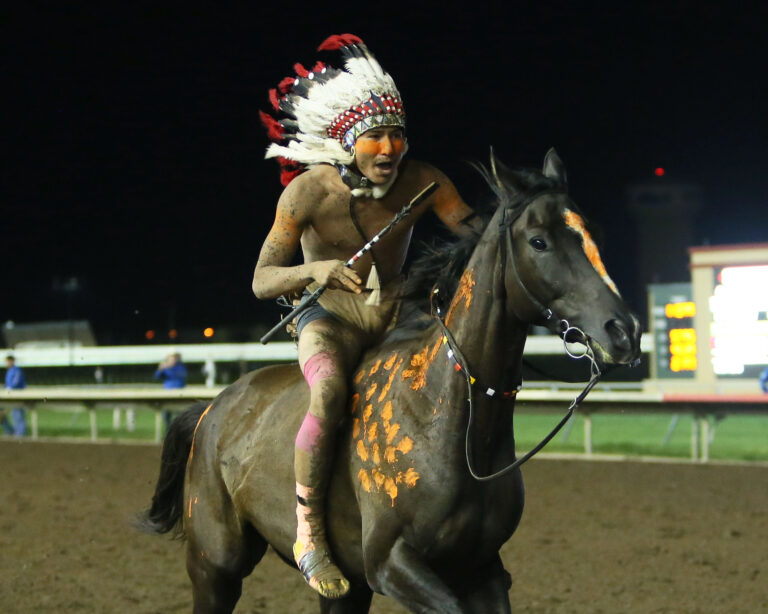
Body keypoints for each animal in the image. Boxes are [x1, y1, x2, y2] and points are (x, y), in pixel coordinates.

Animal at [140, 150, 640, 614]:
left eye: (590, 233)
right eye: (539, 241)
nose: (623, 331)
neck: (447, 415)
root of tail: (211, 409)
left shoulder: (481, 568)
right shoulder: (390, 562)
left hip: (344, 591)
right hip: (215, 565)